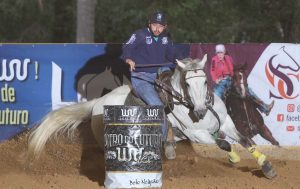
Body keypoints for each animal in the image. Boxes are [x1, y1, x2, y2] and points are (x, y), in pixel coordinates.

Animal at [28, 54, 276, 179]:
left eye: (205, 81)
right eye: (187, 83)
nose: (199, 111)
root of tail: (97, 103)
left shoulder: (225, 122)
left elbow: (246, 140)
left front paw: (267, 167)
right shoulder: (196, 135)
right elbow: (224, 144)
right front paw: (233, 159)